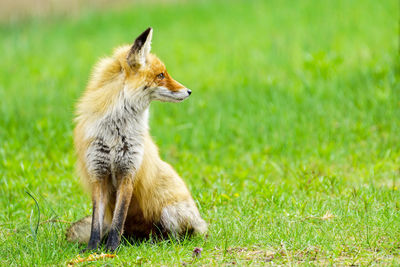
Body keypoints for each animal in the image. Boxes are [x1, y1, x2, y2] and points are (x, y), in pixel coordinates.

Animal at [65, 27, 206, 253]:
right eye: (161, 75)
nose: (189, 91)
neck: (115, 133)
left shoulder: (128, 172)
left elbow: (118, 220)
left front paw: (112, 250)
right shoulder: (98, 173)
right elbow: (96, 223)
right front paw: (93, 250)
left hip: (170, 213)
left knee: (176, 235)